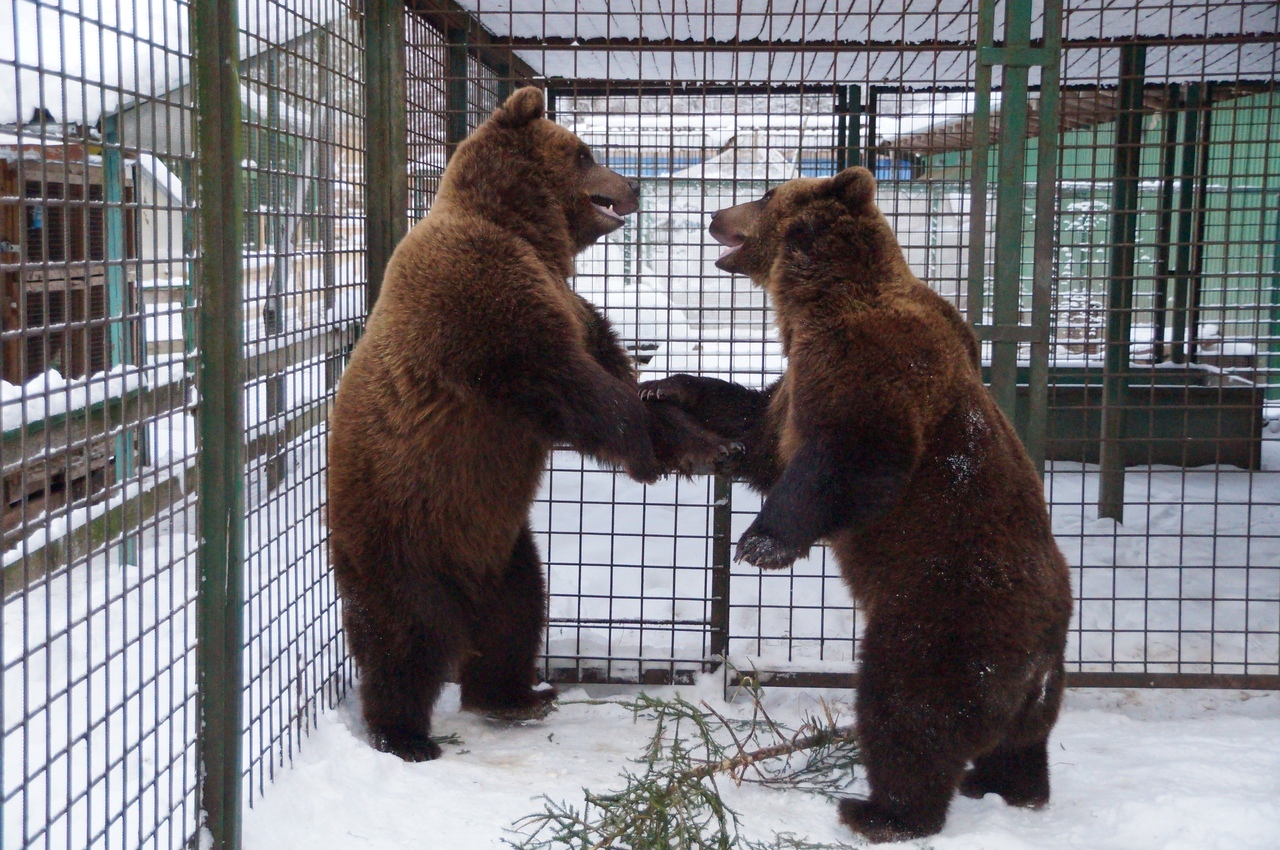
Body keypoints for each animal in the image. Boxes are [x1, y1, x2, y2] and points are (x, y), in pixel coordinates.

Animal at [327, 87, 732, 762]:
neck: (529, 234)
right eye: (586, 152)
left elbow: (611, 377)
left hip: (496, 539)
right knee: (406, 634)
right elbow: (563, 382)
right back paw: (405, 734)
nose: (633, 185)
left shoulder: (570, 303)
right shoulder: (481, 293)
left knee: (516, 610)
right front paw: (646, 453)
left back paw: (515, 694)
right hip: (403, 527)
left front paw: (703, 444)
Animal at [640, 167, 1070, 844]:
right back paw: (1006, 786)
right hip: (1032, 674)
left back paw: (882, 810)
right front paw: (668, 386)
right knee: (1021, 740)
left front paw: (760, 543)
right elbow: (762, 431)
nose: (715, 214)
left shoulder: (870, 363)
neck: (815, 302)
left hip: (946, 615)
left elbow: (854, 454)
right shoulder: (798, 385)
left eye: (765, 194)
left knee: (908, 710)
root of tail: (1045, 642)